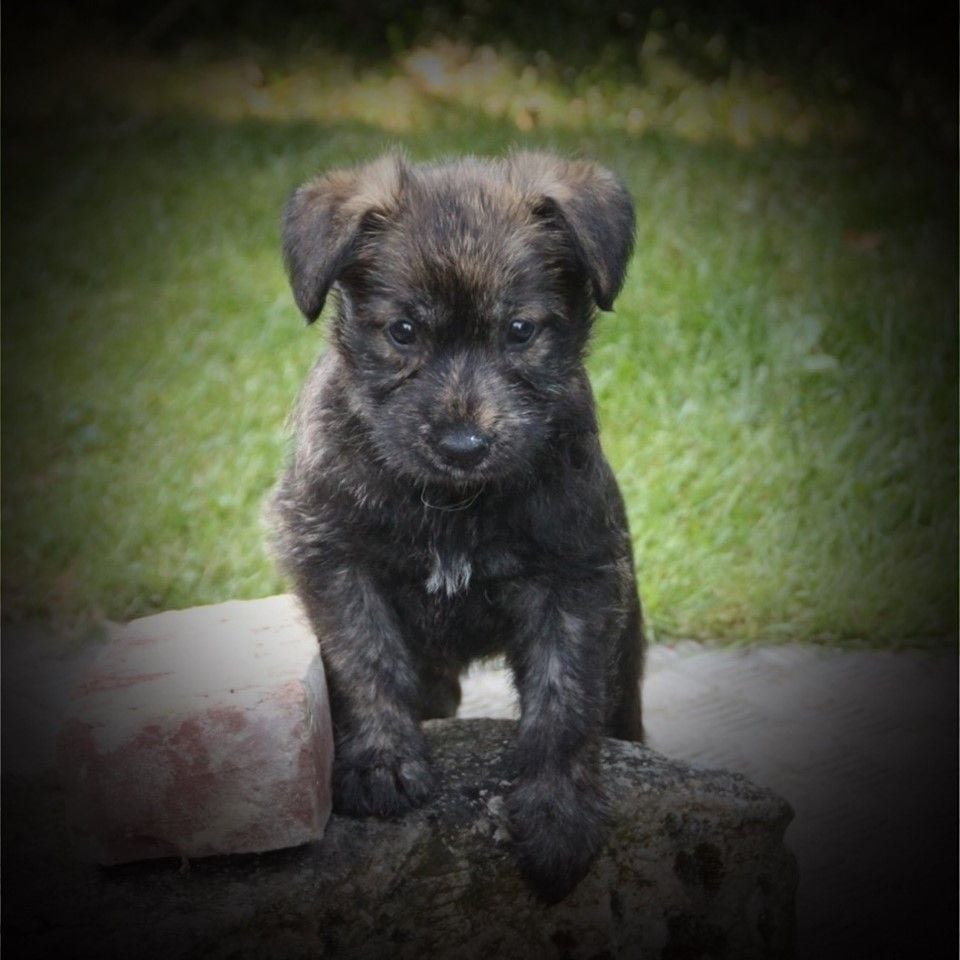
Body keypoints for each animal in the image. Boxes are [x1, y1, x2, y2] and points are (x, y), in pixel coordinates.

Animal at [270, 150, 644, 900]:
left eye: (521, 331)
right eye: (403, 332)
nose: (464, 445)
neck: (453, 502)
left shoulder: (576, 576)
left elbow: (565, 696)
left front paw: (558, 809)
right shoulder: (333, 556)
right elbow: (365, 659)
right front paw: (383, 761)